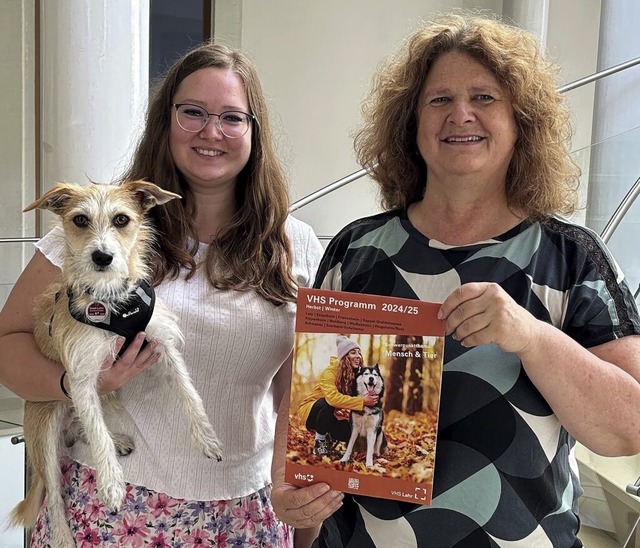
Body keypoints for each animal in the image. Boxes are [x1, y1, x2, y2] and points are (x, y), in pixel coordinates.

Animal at [9, 183, 225, 548]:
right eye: (80, 220)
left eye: (122, 219)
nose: (102, 257)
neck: (111, 303)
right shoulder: (81, 377)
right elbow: (97, 433)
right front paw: (110, 484)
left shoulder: (163, 345)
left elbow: (189, 393)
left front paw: (207, 439)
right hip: (45, 431)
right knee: (53, 492)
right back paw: (63, 535)